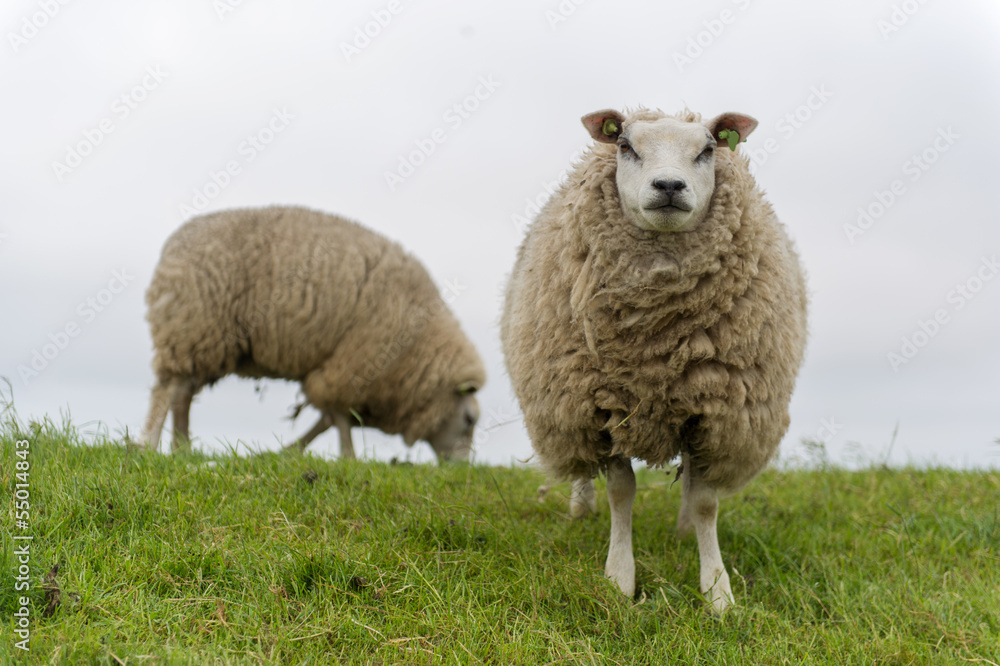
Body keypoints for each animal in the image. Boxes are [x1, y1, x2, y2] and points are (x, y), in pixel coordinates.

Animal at [139, 205, 486, 462]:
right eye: (469, 420)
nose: (461, 468)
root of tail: (171, 246)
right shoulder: (355, 365)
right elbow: (339, 418)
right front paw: (349, 458)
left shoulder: (341, 368)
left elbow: (327, 419)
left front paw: (289, 451)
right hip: (191, 328)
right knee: (168, 389)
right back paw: (148, 443)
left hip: (205, 342)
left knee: (183, 393)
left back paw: (182, 447)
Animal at [500, 108, 808, 613]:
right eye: (625, 146)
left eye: (708, 149)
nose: (668, 185)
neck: (655, 349)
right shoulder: (604, 406)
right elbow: (620, 492)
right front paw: (619, 578)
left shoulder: (714, 410)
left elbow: (705, 502)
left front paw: (717, 591)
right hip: (568, 407)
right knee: (583, 470)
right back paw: (580, 507)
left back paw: (683, 529)